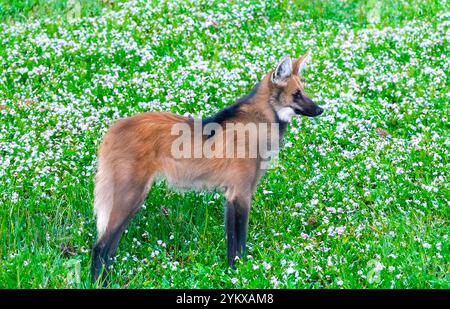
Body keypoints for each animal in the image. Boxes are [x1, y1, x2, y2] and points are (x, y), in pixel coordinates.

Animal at [91, 53, 324, 284]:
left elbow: (234, 240)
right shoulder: (241, 192)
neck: (257, 123)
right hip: (131, 195)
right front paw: (240, 273)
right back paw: (99, 282)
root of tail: (114, 127)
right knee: (100, 246)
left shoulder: (232, 193)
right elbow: (239, 240)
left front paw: (235, 272)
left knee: (110, 247)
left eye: (303, 91)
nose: (320, 109)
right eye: (296, 94)